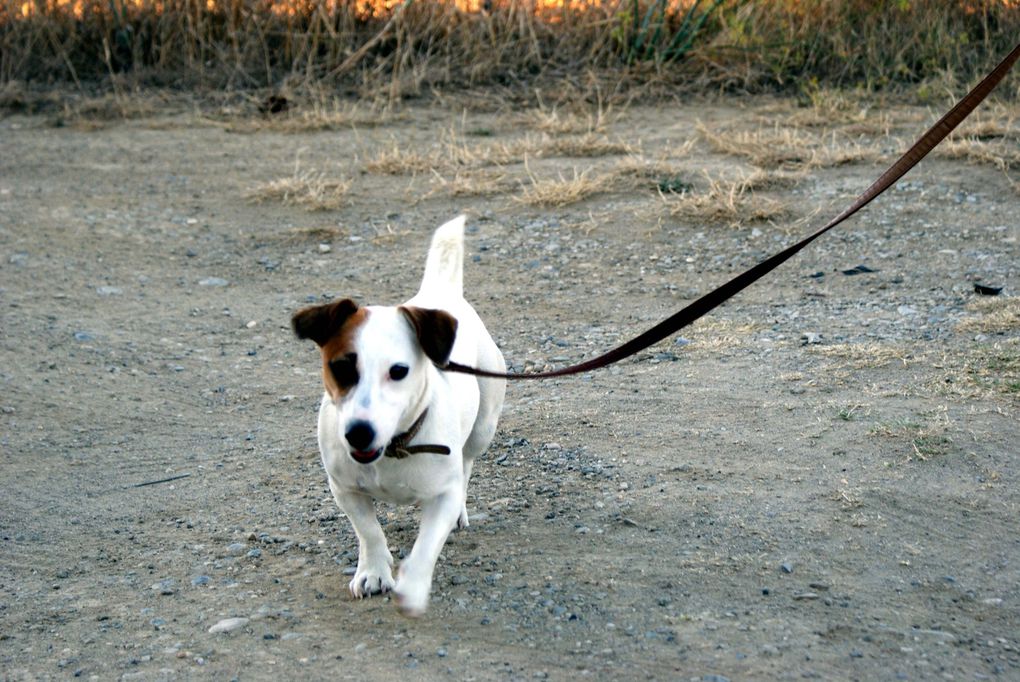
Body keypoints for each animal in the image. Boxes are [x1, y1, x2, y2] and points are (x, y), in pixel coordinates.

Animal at [291, 215, 505, 615]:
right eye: (341, 367)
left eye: (399, 371)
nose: (358, 433)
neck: (394, 448)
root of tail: (440, 294)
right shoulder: (344, 489)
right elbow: (369, 531)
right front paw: (373, 573)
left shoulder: (443, 494)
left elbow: (427, 545)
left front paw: (414, 584)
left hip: (483, 427)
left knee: (468, 463)